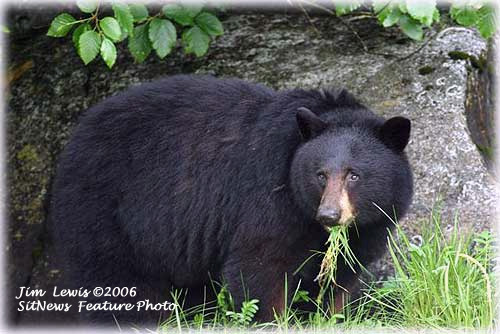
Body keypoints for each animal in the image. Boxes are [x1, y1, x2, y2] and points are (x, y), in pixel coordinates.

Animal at [48, 75, 412, 326]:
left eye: (354, 175)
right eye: (320, 174)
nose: (329, 214)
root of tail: (74, 140)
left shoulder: (370, 225)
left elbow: (340, 276)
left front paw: (329, 316)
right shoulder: (269, 197)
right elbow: (259, 265)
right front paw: (269, 319)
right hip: (103, 209)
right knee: (112, 280)